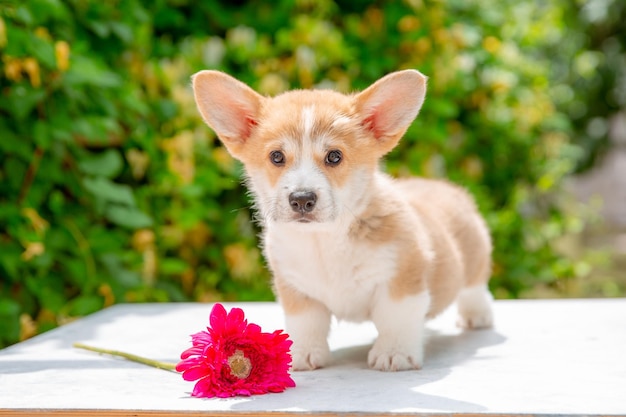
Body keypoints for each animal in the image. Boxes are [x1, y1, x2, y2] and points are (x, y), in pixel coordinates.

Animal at [191, 69, 492, 370]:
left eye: (334, 156)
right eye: (276, 156)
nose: (302, 199)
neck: (323, 239)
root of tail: (446, 187)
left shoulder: (402, 278)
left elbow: (396, 319)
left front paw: (394, 353)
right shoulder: (296, 289)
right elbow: (306, 324)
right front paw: (303, 354)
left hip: (475, 257)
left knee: (475, 287)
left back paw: (477, 316)